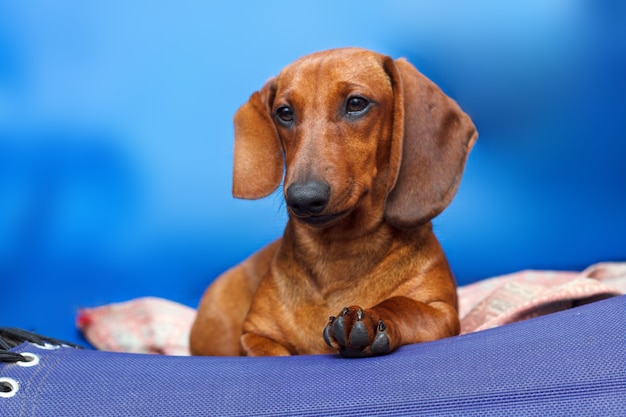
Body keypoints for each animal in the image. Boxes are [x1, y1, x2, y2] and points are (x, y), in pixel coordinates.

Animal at [188, 46, 476, 358]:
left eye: (356, 103)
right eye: (284, 112)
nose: (303, 198)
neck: (339, 252)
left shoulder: (443, 314)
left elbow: (404, 304)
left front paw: (370, 318)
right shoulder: (254, 335)